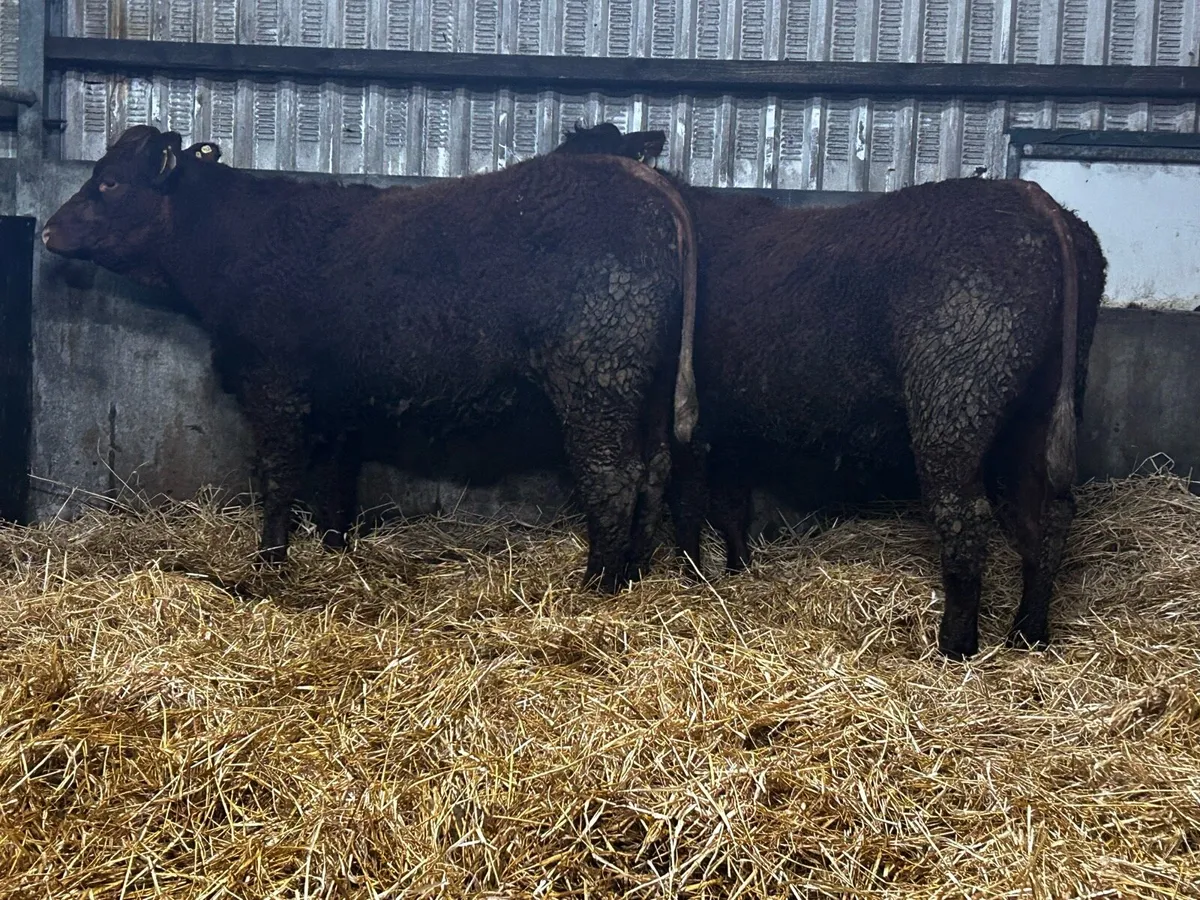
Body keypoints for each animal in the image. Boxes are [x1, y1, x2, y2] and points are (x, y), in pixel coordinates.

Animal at [41, 124, 700, 593]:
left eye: (109, 183)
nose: (47, 231)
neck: (240, 240)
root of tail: (648, 185)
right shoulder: (336, 397)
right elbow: (336, 477)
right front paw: (335, 549)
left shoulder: (273, 383)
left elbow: (279, 475)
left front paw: (270, 561)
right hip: (646, 385)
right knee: (655, 469)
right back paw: (634, 571)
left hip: (598, 377)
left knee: (613, 477)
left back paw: (597, 584)